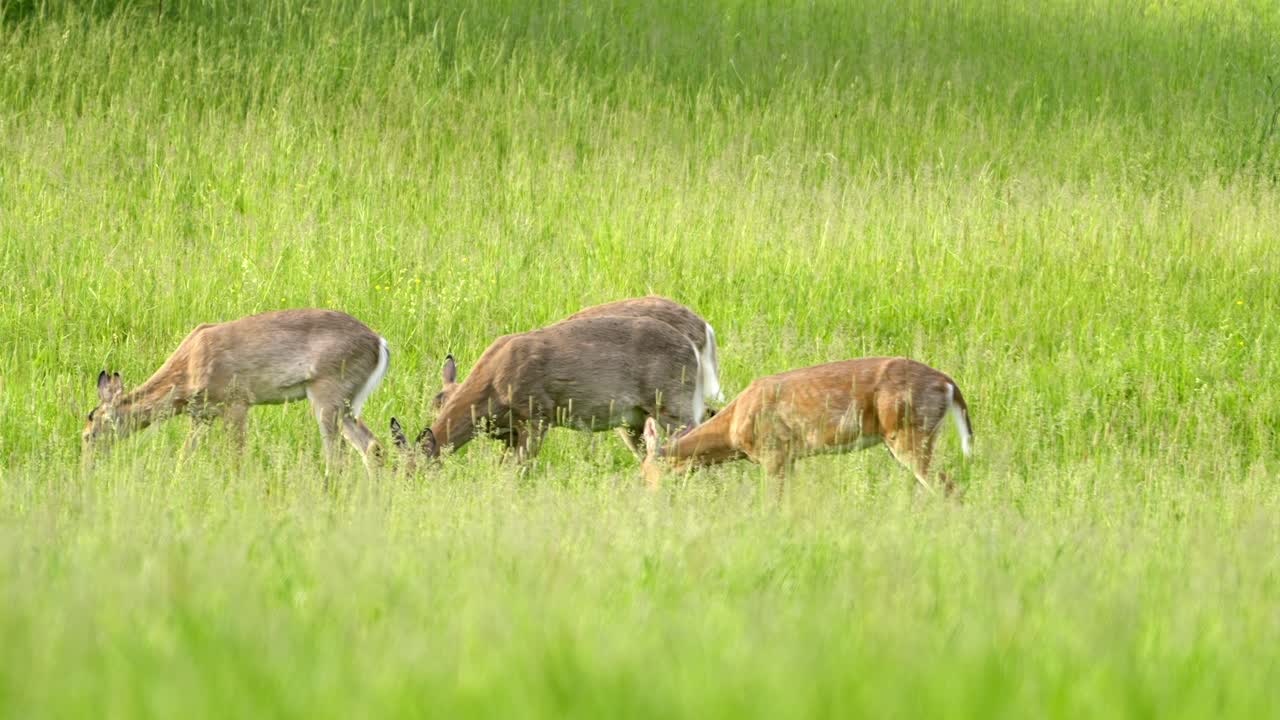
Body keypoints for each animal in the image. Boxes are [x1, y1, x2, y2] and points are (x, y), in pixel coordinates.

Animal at [82, 308, 390, 473]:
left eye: (89, 434)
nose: (88, 465)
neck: (187, 371)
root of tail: (379, 342)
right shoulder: (202, 415)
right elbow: (185, 456)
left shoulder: (238, 402)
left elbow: (237, 457)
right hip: (348, 402)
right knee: (372, 447)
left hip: (328, 393)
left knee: (337, 456)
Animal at [389, 315, 704, 466]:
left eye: (412, 472)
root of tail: (693, 352)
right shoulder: (509, 432)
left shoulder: (537, 415)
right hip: (634, 420)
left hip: (673, 404)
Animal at [641, 357, 973, 495]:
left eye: (644, 473)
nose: (649, 499)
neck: (733, 427)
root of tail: (948, 384)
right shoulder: (790, 458)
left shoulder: (773, 453)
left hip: (910, 434)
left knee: (949, 487)